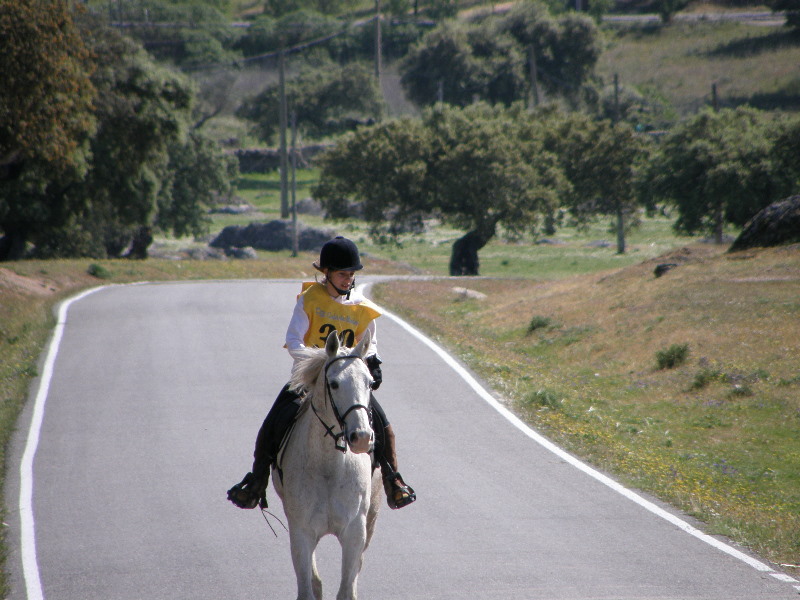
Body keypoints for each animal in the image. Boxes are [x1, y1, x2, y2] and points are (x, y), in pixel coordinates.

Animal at [276, 330, 384, 600]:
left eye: (369, 382)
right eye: (334, 383)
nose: (362, 437)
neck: (328, 465)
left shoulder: (354, 533)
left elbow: (347, 589)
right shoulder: (301, 531)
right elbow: (308, 587)